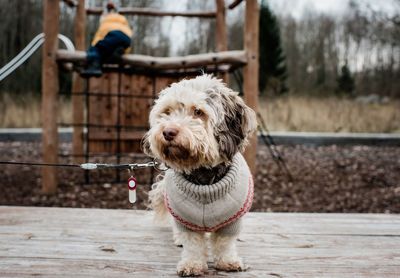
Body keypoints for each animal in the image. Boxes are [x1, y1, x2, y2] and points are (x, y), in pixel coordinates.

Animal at [143, 74, 256, 276]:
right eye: (167, 111)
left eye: (198, 112)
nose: (168, 132)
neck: (204, 176)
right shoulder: (186, 220)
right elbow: (193, 244)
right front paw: (192, 264)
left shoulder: (231, 221)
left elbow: (224, 243)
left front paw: (227, 262)